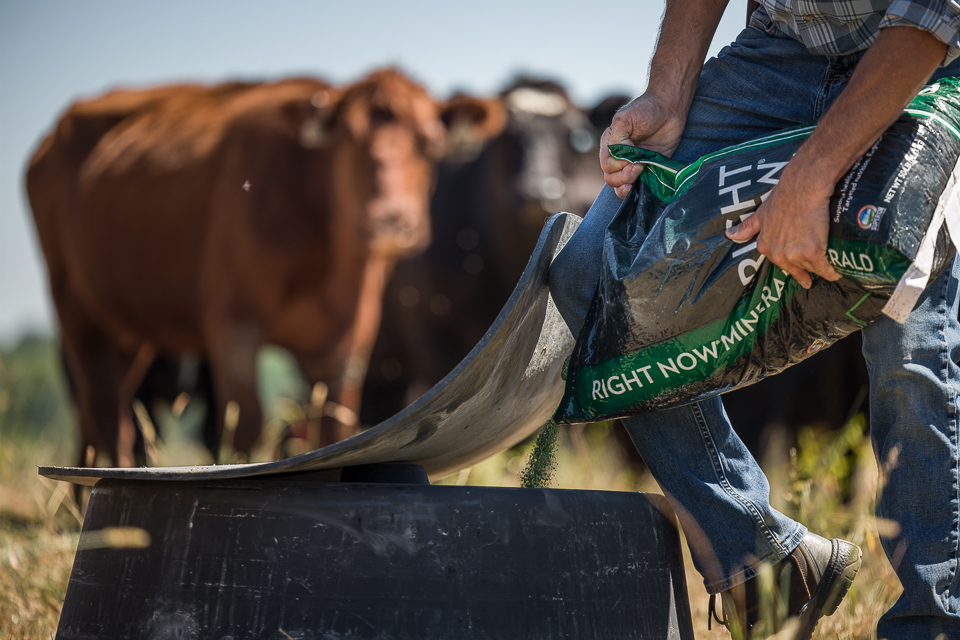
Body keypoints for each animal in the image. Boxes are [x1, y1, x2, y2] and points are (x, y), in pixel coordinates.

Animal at [28, 70, 478, 468]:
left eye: (430, 143)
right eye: (348, 141)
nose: (389, 219)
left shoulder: (348, 339)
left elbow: (333, 427)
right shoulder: (233, 326)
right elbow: (244, 427)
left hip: (127, 327)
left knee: (99, 416)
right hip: (75, 307)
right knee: (109, 415)